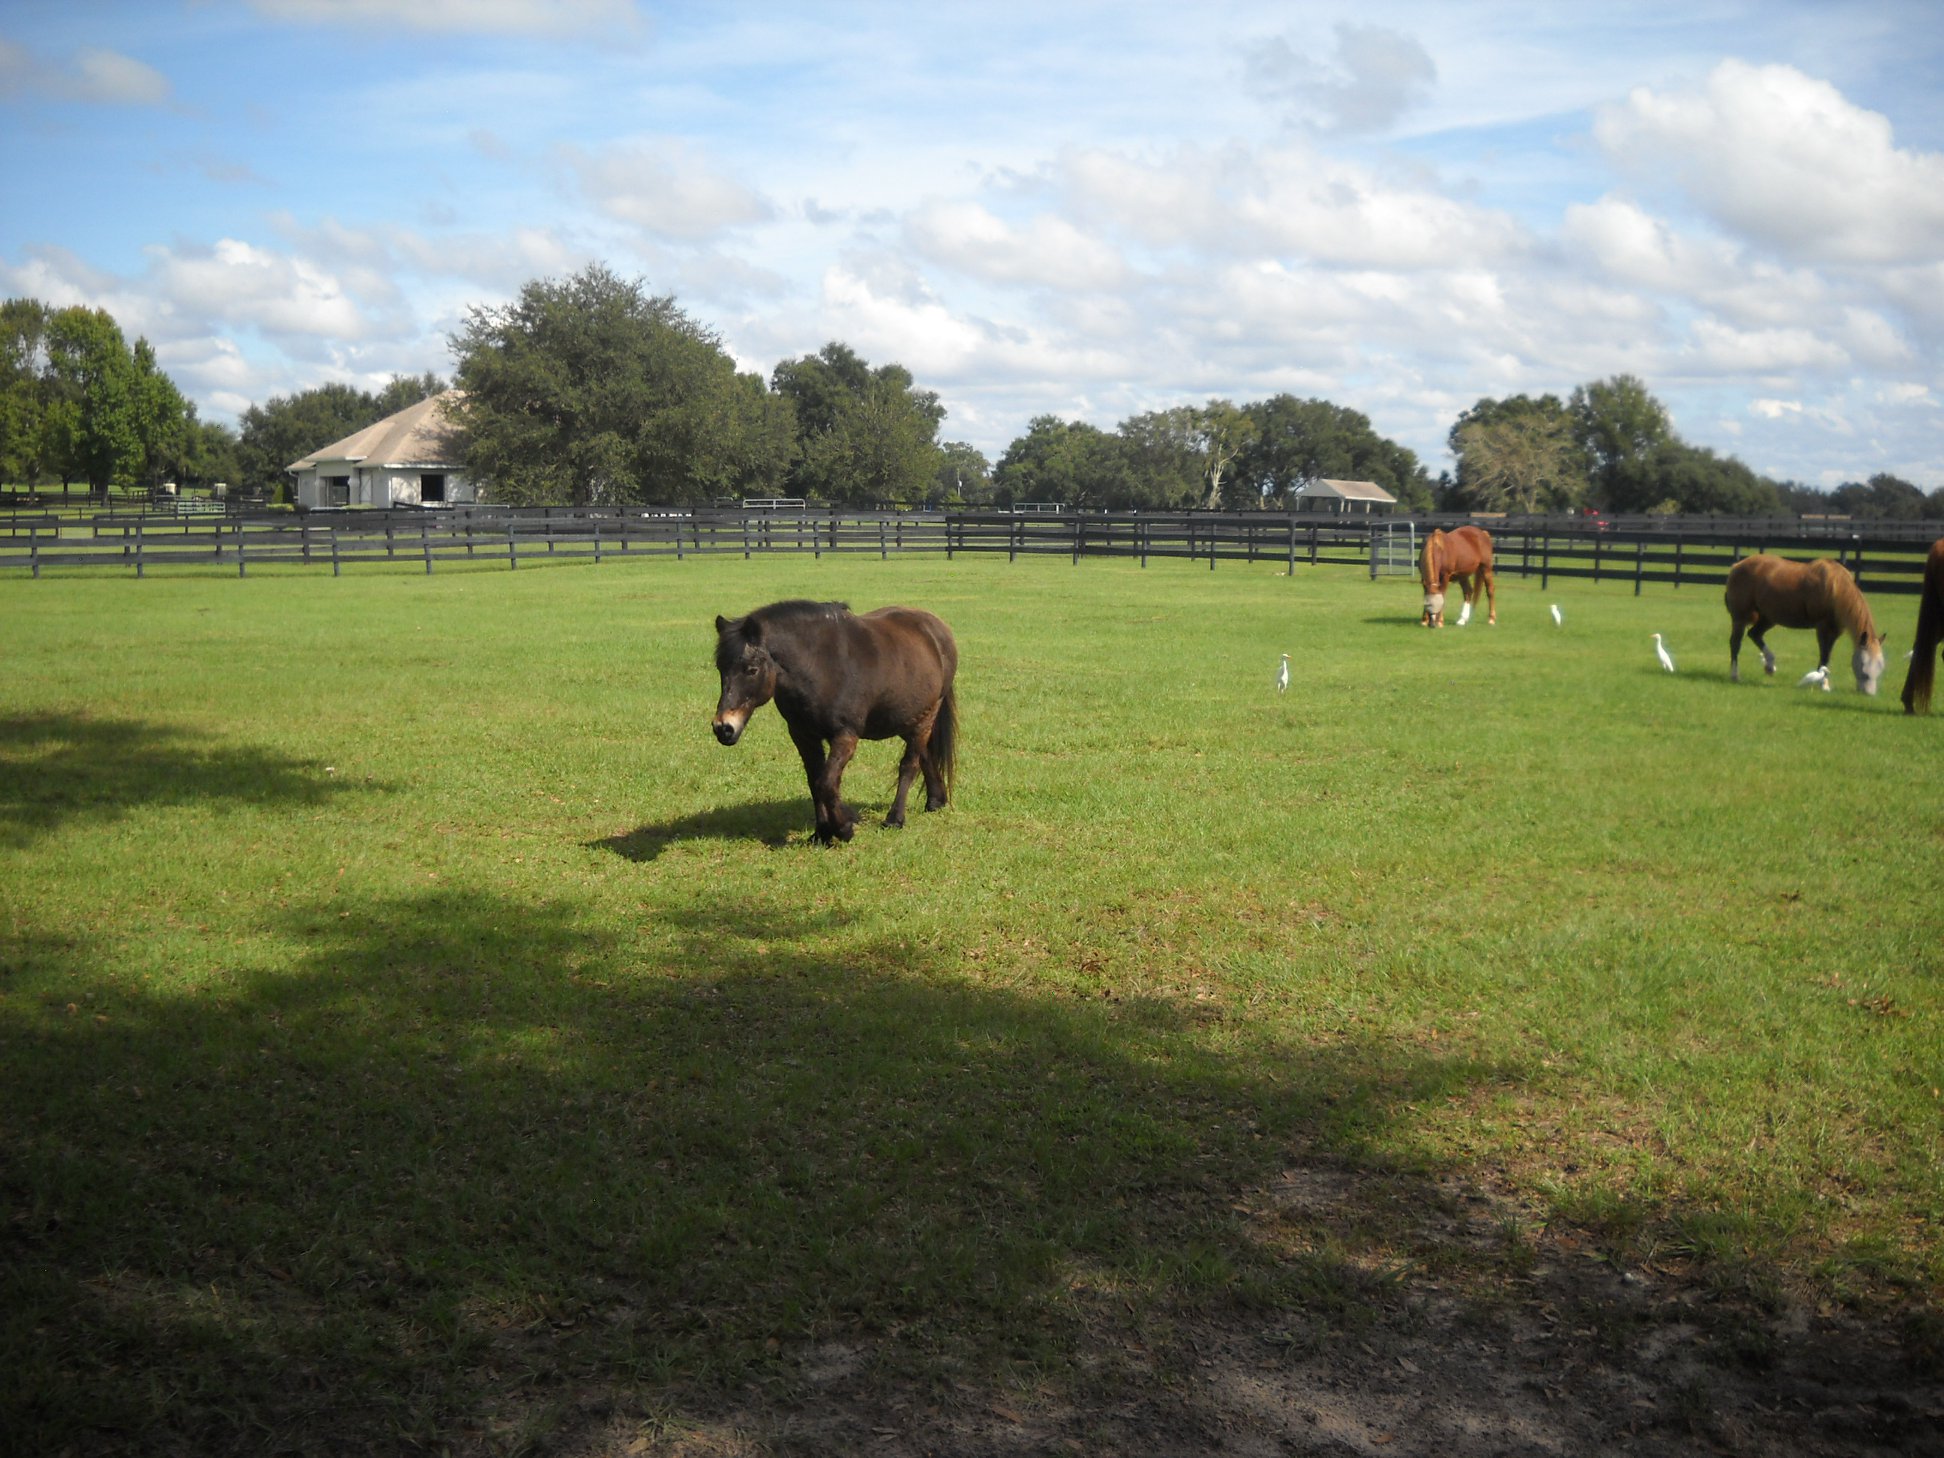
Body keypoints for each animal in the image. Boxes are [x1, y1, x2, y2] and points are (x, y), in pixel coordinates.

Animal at [712, 600, 958, 844]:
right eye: (720, 668)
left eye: (752, 670)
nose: (723, 728)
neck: (820, 666)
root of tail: (936, 628)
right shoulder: (803, 736)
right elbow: (815, 782)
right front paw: (822, 832)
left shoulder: (845, 736)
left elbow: (827, 783)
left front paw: (843, 828)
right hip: (903, 718)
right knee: (924, 755)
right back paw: (936, 800)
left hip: (925, 717)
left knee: (909, 765)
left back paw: (895, 819)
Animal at [1723, 554, 1887, 694]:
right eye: (1864, 667)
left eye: (1880, 667)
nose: (1869, 693)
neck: (1834, 588)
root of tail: (1737, 566)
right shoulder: (1823, 628)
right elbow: (1824, 656)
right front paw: (1823, 684)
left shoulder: (1835, 631)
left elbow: (1827, 656)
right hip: (1740, 618)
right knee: (1735, 643)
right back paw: (1735, 675)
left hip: (1769, 618)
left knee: (1754, 634)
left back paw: (1770, 665)